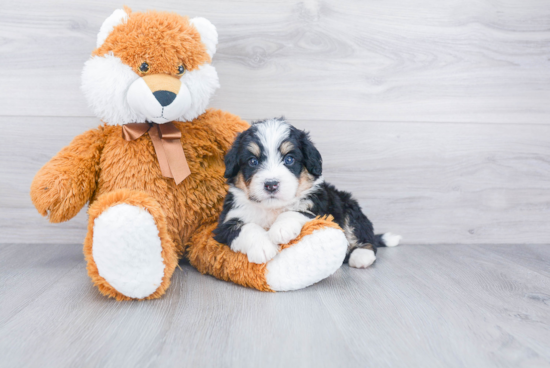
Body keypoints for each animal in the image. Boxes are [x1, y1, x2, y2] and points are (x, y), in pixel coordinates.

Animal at [212, 118, 402, 268]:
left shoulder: (320, 208)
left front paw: (281, 229)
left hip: (349, 206)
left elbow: (296, 211)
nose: (271, 185)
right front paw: (263, 247)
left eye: (289, 159)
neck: (272, 209)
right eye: (253, 161)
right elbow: (246, 227)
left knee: (364, 235)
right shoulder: (225, 222)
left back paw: (361, 256)